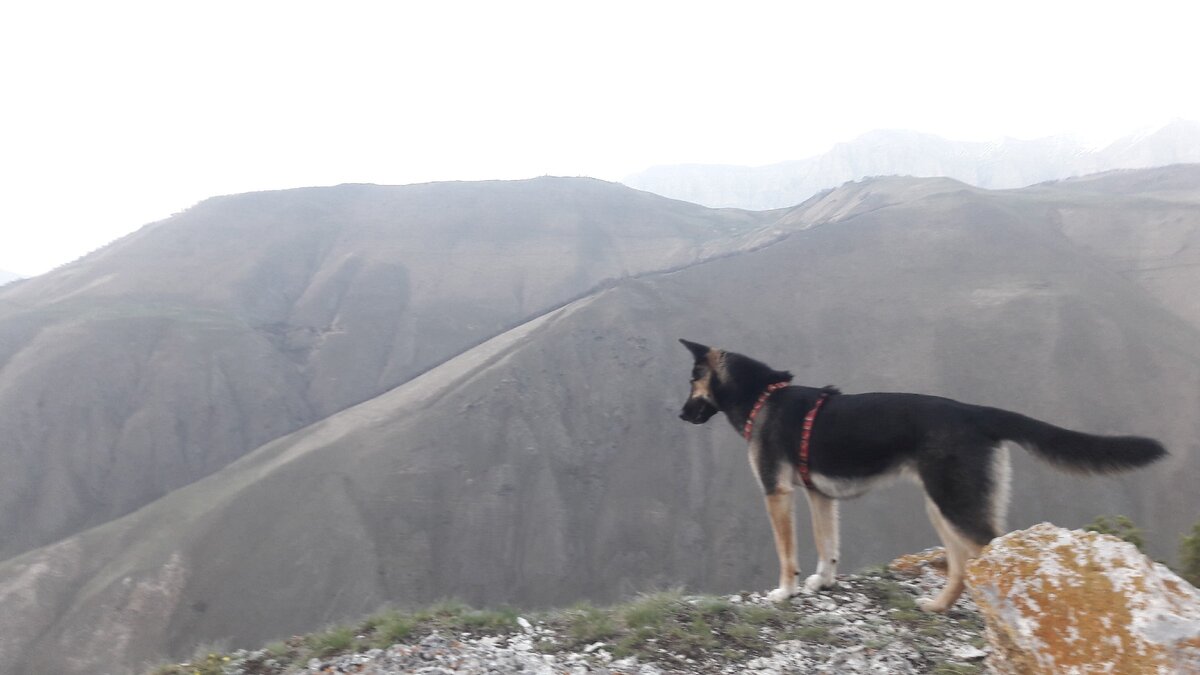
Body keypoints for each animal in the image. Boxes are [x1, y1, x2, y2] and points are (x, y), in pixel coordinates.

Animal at [677, 339, 1167, 611]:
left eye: (691, 381)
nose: (679, 414)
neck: (764, 396)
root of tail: (977, 413)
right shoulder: (820, 496)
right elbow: (827, 545)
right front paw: (824, 582)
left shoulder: (776, 492)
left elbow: (787, 554)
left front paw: (785, 592)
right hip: (943, 505)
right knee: (963, 567)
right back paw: (939, 606)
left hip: (956, 505)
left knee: (993, 556)